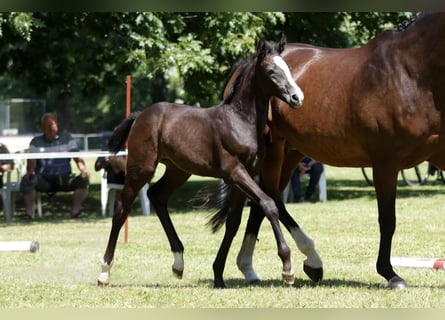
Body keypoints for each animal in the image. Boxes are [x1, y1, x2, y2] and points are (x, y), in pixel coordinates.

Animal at [98, 35, 306, 288]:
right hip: (141, 168)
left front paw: (218, 276)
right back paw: (104, 272)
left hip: (178, 171)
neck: (239, 121)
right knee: (121, 209)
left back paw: (178, 263)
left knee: (157, 196)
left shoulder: (244, 174)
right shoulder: (235, 172)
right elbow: (268, 204)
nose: (297, 97)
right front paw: (287, 267)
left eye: (288, 68)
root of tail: (141, 115)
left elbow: (233, 222)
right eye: (271, 71)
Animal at [213, 12, 442, 288]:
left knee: (266, 198)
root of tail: (246, 64)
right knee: (267, 198)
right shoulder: (385, 164)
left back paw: (252, 267)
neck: (410, 73)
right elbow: (387, 220)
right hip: (272, 150)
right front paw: (390, 274)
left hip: (291, 152)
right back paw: (308, 260)